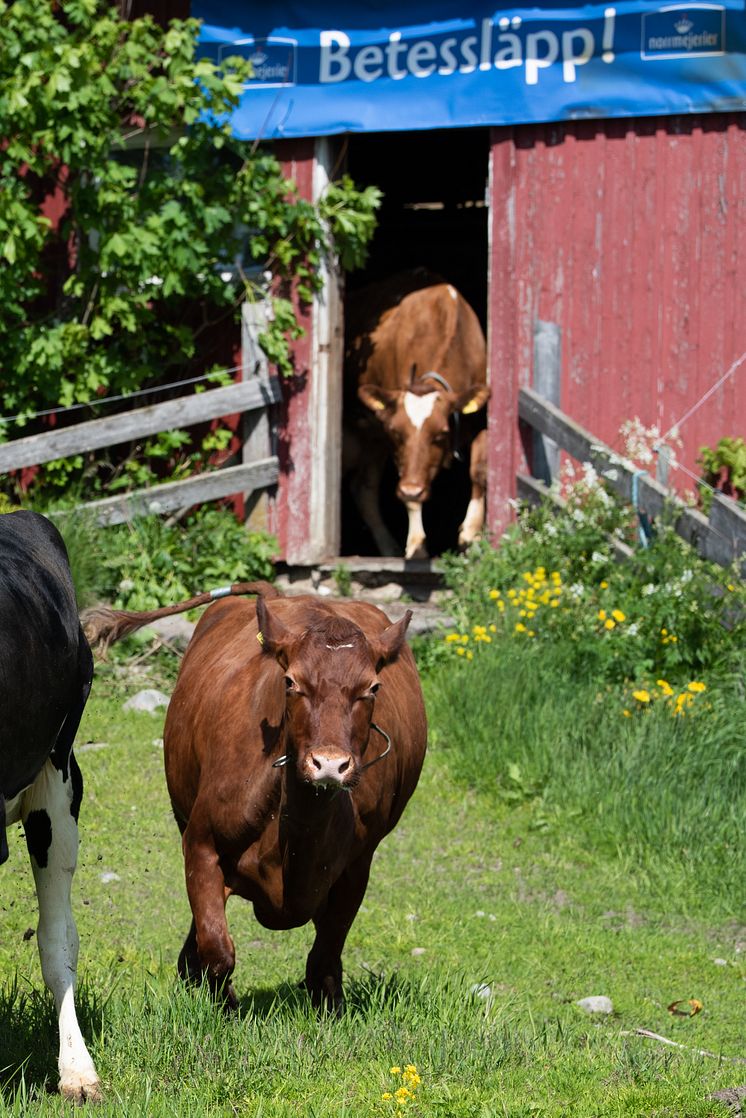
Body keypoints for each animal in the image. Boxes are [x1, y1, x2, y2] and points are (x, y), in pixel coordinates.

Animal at [81, 585, 425, 1015]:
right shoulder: (201, 843)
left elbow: (327, 950)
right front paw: (222, 1003)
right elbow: (218, 947)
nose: (329, 764)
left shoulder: (358, 865)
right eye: (291, 682)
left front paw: (330, 1005)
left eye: (373, 687)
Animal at [344, 268, 489, 556]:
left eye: (440, 434)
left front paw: (472, 533)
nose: (411, 490)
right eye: (398, 433)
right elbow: (407, 478)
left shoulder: (479, 416)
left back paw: (388, 549)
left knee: (363, 488)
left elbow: (479, 470)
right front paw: (416, 545)